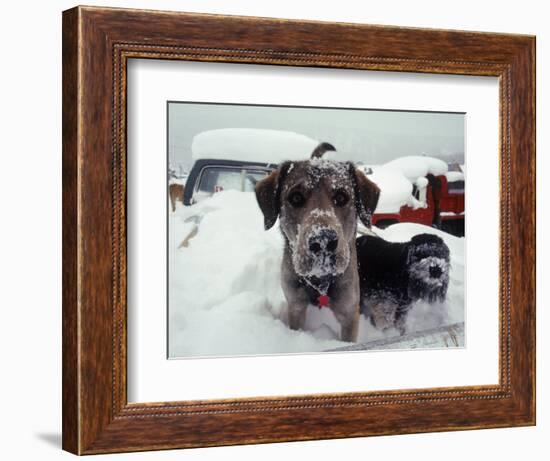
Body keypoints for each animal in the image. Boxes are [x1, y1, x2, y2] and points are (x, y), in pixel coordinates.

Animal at [258, 147, 380, 342]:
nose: (323, 241)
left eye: (341, 197)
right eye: (296, 197)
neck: (320, 280)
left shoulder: (349, 311)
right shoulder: (295, 304)